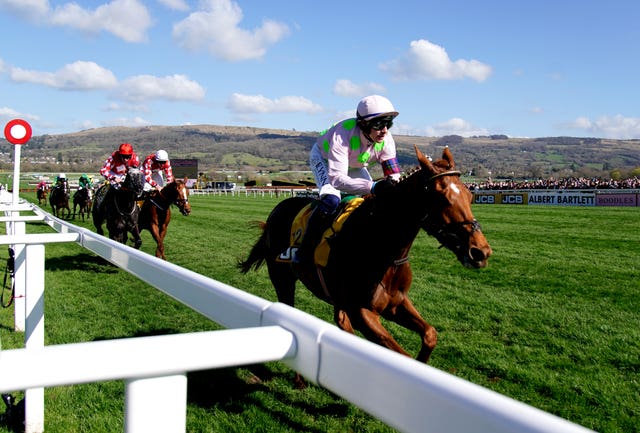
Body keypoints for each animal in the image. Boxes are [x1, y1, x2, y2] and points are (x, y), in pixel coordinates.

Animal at [238, 144, 492, 364]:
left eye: (470, 196)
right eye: (442, 197)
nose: (480, 251)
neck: (380, 249)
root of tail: (274, 213)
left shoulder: (396, 303)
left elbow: (430, 334)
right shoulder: (362, 312)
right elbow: (401, 354)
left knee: (340, 322)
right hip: (282, 278)